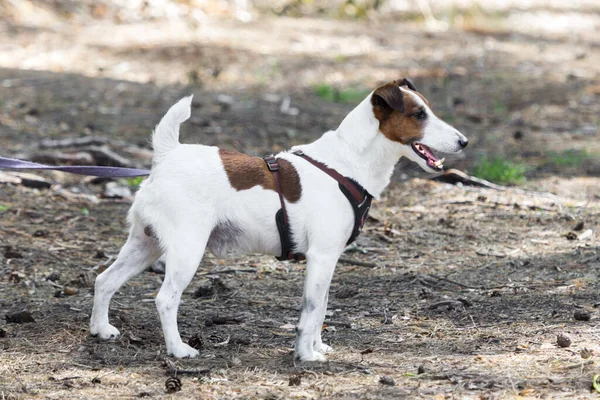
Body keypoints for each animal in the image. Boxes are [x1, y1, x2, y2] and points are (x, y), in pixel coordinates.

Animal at [89, 79, 468, 360]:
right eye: (419, 114)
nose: (464, 141)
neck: (348, 163)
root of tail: (167, 157)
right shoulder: (321, 257)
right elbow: (312, 311)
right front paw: (306, 354)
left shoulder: (328, 260)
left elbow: (321, 309)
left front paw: (317, 347)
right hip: (186, 250)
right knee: (165, 299)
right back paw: (178, 349)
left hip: (144, 246)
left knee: (104, 280)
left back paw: (101, 329)